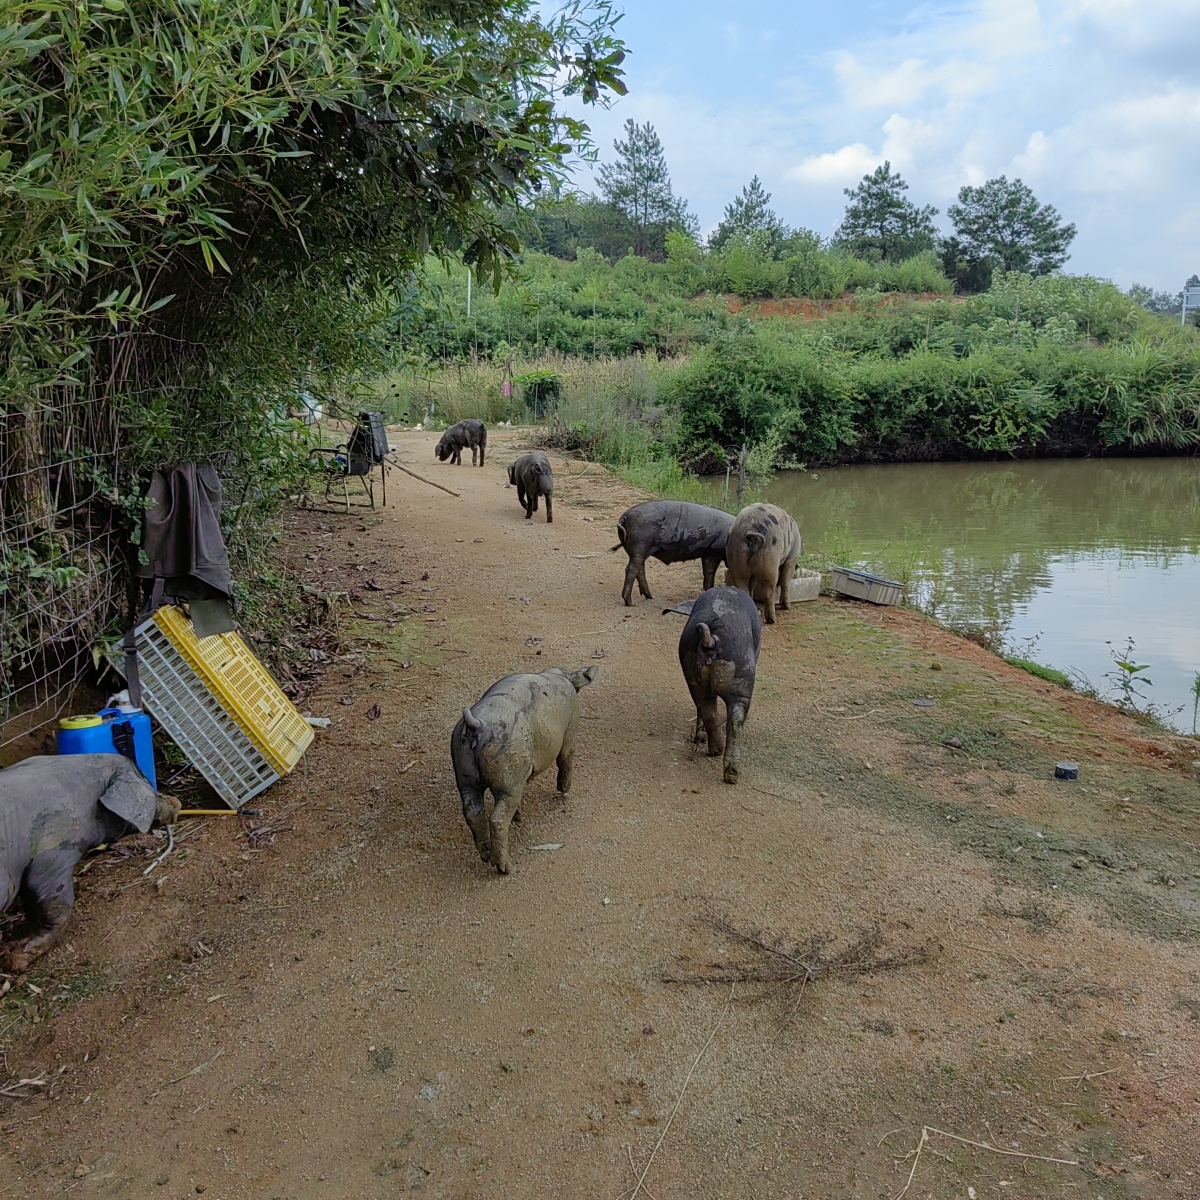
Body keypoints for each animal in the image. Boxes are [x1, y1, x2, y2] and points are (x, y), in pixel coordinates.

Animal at [451, 667, 597, 873]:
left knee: (472, 812)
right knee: (497, 818)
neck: (563, 675)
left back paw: (486, 855)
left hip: (465, 773)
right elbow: (566, 757)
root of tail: (478, 725)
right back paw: (505, 868)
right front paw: (564, 792)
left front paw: (519, 815)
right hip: (507, 769)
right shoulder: (571, 726)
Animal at [676, 583, 758, 787]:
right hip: (741, 678)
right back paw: (731, 774)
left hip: (693, 677)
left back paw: (714, 749)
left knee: (707, 709)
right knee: (736, 719)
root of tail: (710, 638)